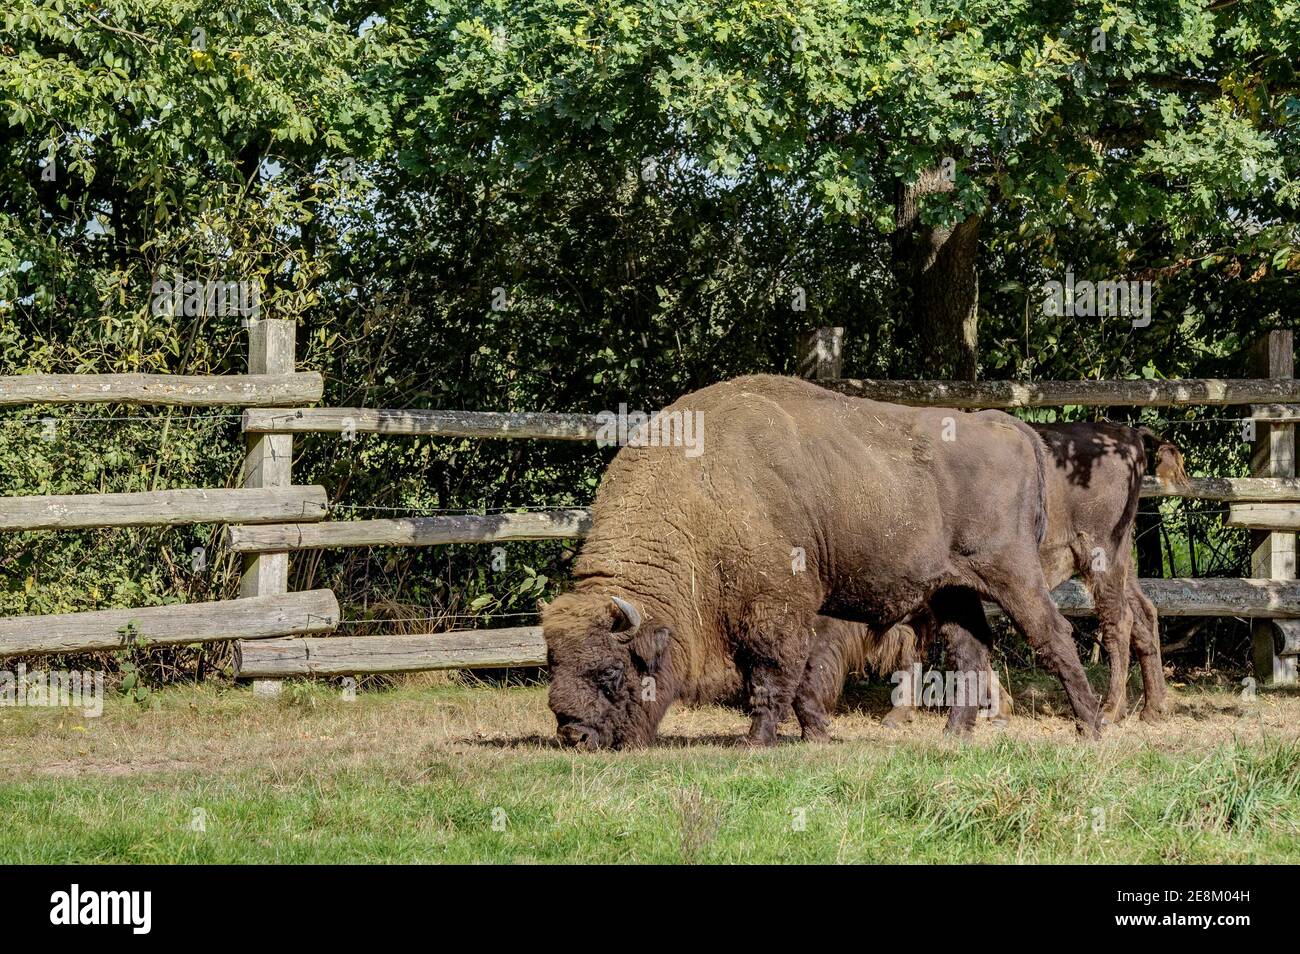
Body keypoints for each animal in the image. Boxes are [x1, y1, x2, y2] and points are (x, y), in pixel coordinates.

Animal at [543, 376, 1102, 748]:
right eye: (553, 664)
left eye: (611, 672)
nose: (574, 735)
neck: (700, 496)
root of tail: (1007, 426)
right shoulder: (804, 612)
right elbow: (802, 678)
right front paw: (816, 734)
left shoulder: (776, 608)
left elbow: (773, 675)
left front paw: (757, 741)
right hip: (952, 590)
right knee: (970, 651)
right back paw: (953, 735)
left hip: (1012, 575)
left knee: (1053, 635)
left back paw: (1090, 728)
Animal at [785, 421, 1185, 738]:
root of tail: (1128, 433)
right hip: (1121, 560)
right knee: (1145, 614)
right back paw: (1153, 709)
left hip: (1099, 555)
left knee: (1119, 621)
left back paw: (1109, 711)